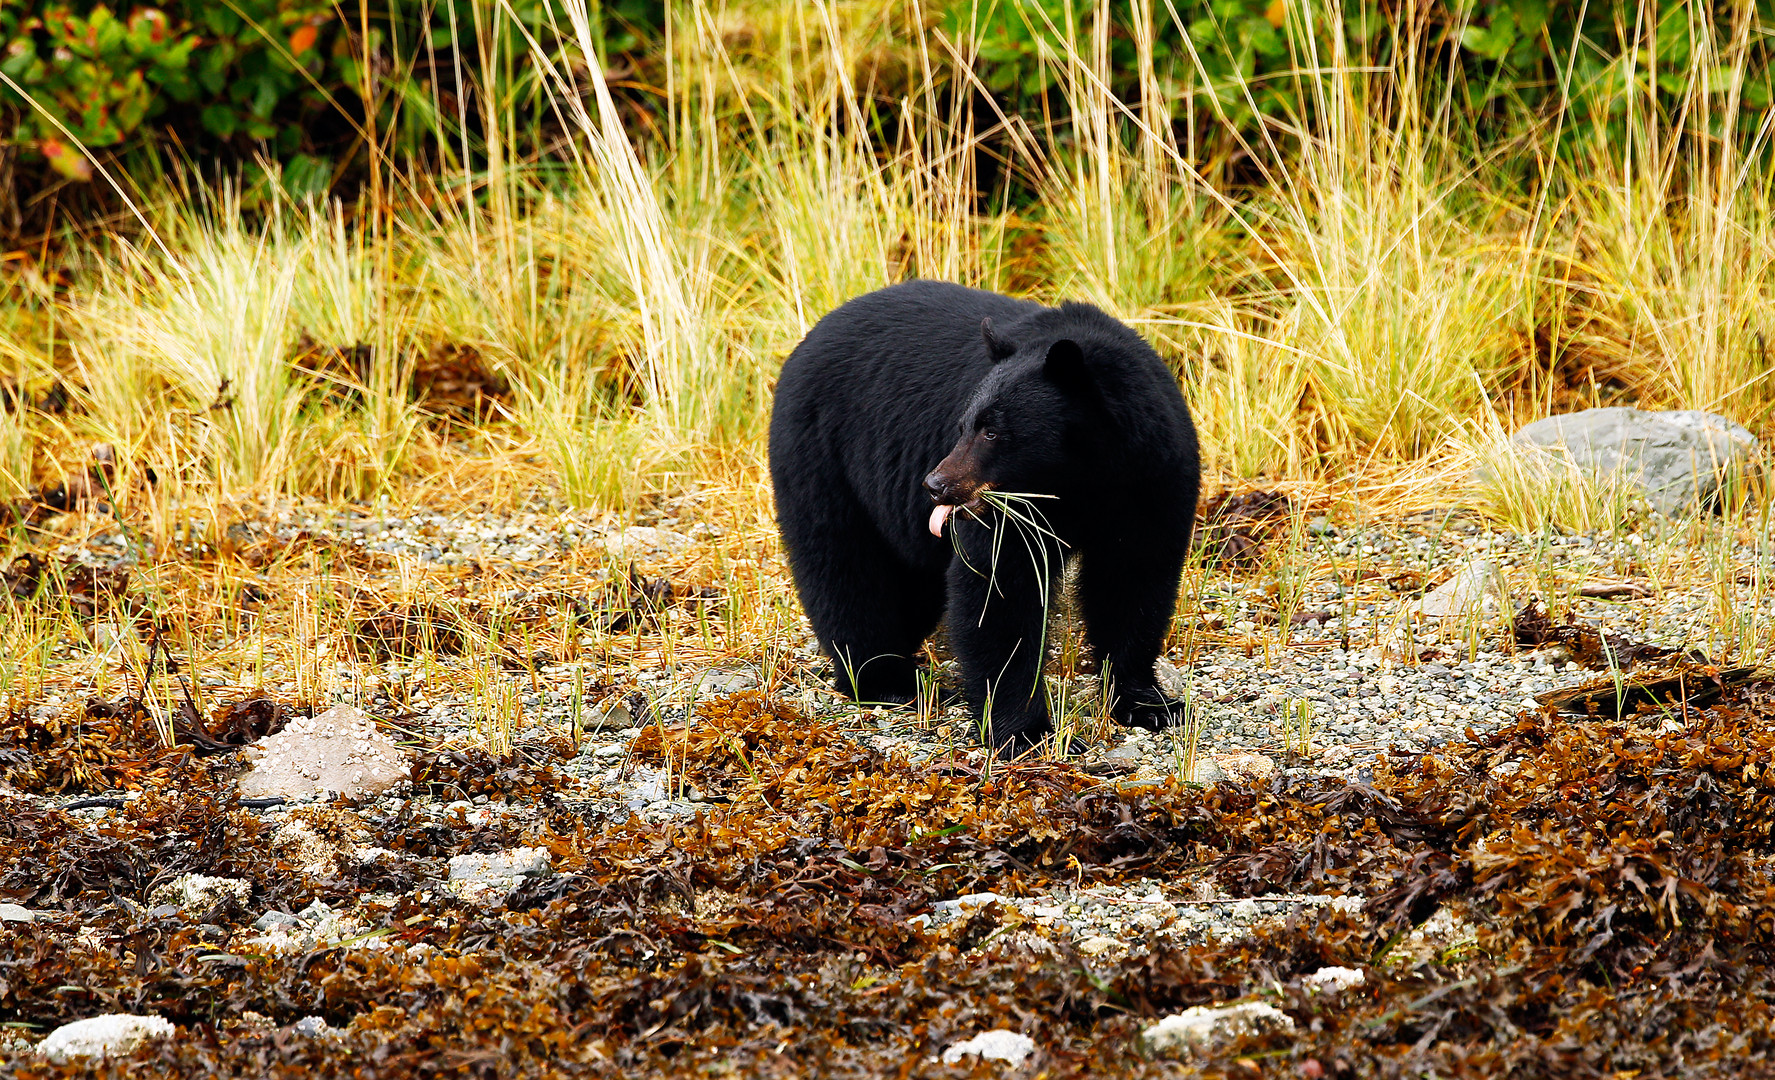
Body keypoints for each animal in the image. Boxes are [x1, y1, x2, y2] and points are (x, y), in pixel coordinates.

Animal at [770, 278, 1199, 749]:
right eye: (963, 426)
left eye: (992, 431)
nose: (935, 485)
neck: (1082, 481)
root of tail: (812, 334)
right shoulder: (1010, 515)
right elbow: (999, 593)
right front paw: (1026, 731)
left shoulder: (1151, 480)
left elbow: (1133, 580)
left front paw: (1149, 703)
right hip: (822, 455)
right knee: (843, 566)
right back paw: (886, 677)